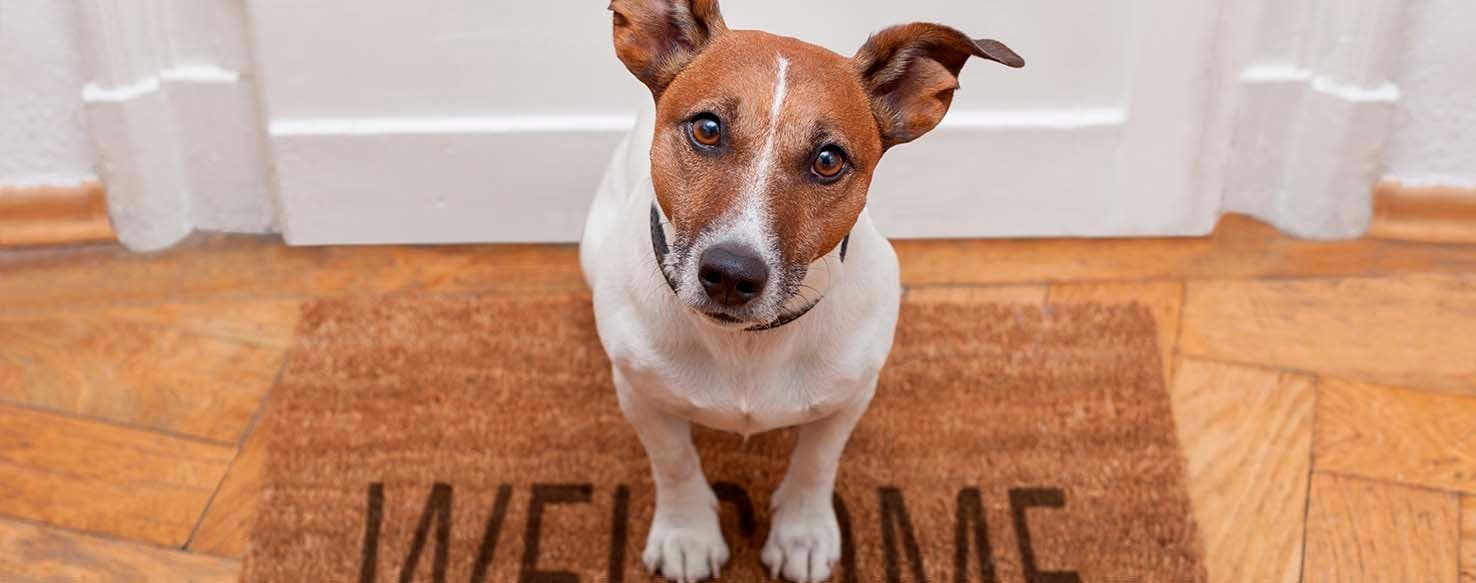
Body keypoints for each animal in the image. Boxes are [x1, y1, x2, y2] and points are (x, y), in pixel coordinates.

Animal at [581, 2, 1021, 581]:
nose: (731, 274)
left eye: (829, 160)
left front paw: (802, 535)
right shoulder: (640, 393)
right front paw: (687, 533)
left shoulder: (851, 396)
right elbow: (673, 461)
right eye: (707, 129)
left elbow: (817, 461)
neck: (747, 343)